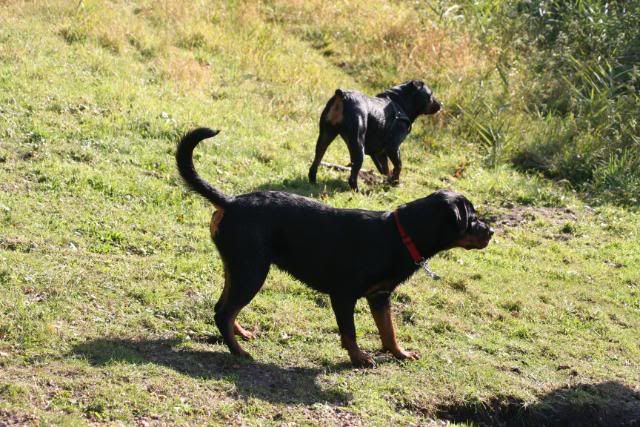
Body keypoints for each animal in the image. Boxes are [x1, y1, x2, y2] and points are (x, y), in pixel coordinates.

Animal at [178, 127, 492, 368]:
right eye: (472, 219)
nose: (491, 231)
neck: (399, 234)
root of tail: (230, 202)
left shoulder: (380, 297)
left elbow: (389, 330)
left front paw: (400, 354)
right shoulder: (343, 295)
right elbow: (350, 332)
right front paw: (359, 359)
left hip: (239, 268)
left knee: (223, 307)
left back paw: (240, 335)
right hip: (252, 272)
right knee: (223, 312)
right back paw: (239, 352)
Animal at [306, 81, 440, 191]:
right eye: (430, 95)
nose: (441, 104)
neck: (400, 103)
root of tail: (342, 95)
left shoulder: (380, 153)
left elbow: (386, 169)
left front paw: (389, 182)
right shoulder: (393, 147)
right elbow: (398, 165)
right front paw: (395, 182)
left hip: (325, 136)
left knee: (317, 159)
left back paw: (313, 181)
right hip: (358, 145)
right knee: (353, 175)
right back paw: (357, 191)